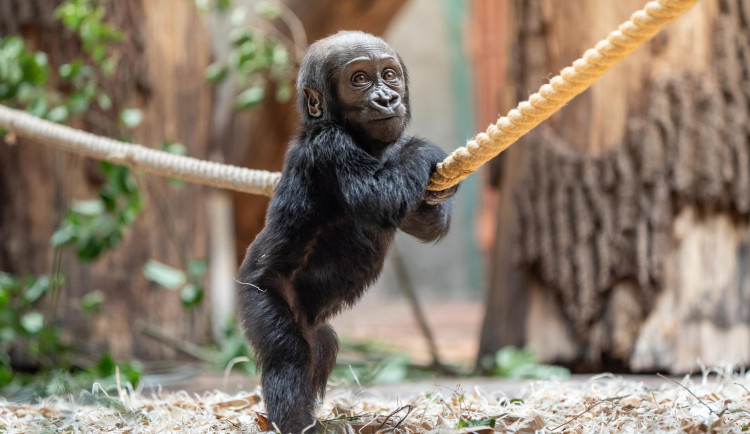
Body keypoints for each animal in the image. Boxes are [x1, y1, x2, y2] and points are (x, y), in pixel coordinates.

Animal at [238, 30, 458, 430]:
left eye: (389, 74)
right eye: (359, 79)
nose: (386, 97)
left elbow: (416, 219)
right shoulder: (329, 147)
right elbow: (380, 195)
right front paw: (425, 150)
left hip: (313, 322)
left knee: (321, 348)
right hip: (258, 293)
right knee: (289, 354)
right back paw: (295, 424)